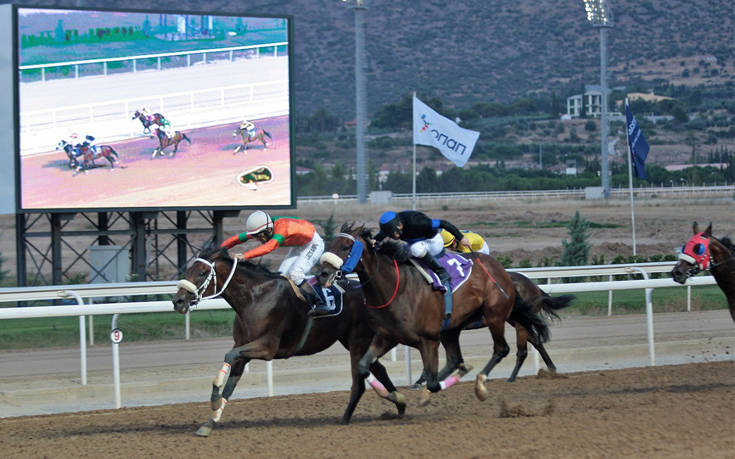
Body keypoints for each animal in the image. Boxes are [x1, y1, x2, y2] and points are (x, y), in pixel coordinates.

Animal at [171, 248, 408, 438]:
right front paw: (210, 422)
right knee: (376, 368)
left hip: (357, 340)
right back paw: (399, 403)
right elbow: (230, 384)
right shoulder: (243, 349)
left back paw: (347, 417)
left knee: (359, 381)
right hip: (351, 341)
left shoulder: (267, 347)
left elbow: (228, 355)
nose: (178, 301)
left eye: (202, 272)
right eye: (188, 270)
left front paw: (214, 398)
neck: (255, 298)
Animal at [316, 226, 552, 406]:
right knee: (457, 358)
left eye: (346, 247)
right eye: (330, 244)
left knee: (503, 349)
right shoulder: (387, 336)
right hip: (452, 329)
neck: (397, 287)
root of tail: (503, 271)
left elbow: (432, 381)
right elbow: (364, 366)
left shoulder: (428, 340)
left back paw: (483, 384)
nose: (322, 274)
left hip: (496, 315)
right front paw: (393, 395)